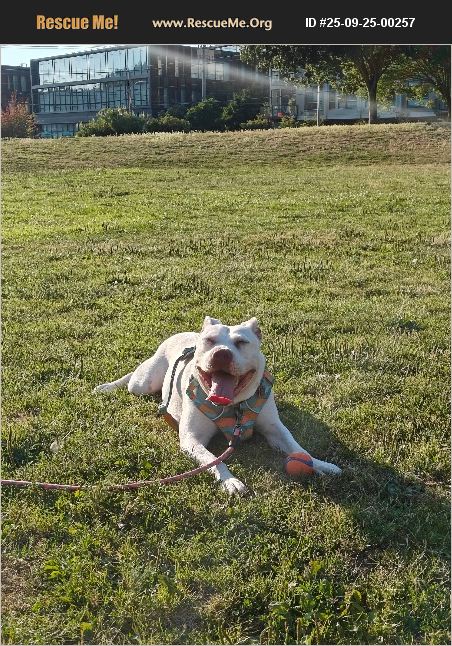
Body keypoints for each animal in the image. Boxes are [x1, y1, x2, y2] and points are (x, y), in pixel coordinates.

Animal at [94, 317, 341, 494]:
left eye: (242, 342)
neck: (234, 406)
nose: (221, 353)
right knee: (131, 378)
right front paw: (230, 481)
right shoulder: (192, 440)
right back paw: (107, 386)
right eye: (210, 341)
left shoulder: (276, 430)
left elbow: (298, 448)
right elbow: (213, 460)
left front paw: (321, 464)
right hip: (143, 383)